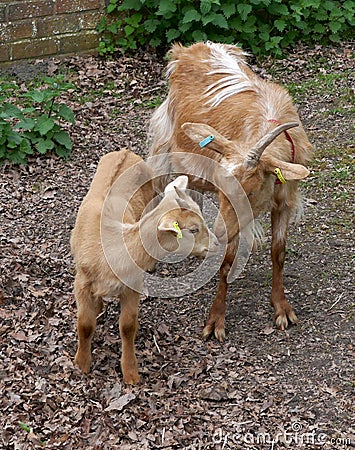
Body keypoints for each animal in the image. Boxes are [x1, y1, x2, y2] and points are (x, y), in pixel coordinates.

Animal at [149, 42, 314, 340]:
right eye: (225, 190)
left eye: (250, 191)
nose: (219, 233)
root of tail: (187, 49)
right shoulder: (231, 214)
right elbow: (226, 262)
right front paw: (215, 321)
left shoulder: (284, 201)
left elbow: (279, 252)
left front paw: (281, 308)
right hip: (167, 147)